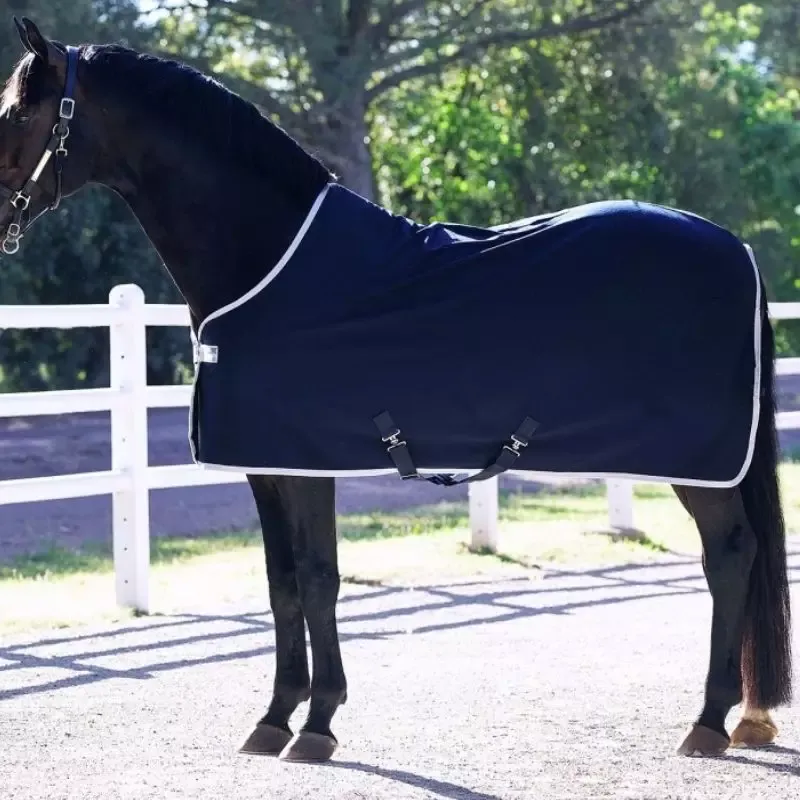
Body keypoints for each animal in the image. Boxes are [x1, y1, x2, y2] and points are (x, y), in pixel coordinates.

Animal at [0, 17, 791, 763]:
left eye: (16, 112)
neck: (270, 258)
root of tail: (738, 248)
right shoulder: (266, 467)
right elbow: (281, 584)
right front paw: (273, 719)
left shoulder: (306, 465)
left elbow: (319, 578)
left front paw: (318, 725)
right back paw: (737, 718)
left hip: (700, 463)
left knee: (730, 555)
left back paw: (708, 722)